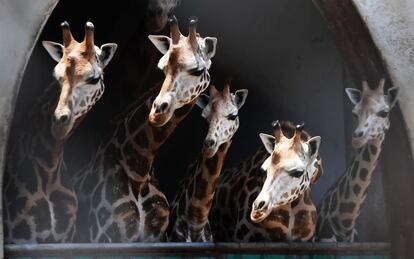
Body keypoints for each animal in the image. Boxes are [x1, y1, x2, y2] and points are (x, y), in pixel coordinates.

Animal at [2, 21, 117, 245]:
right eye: (56, 76)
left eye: (94, 79)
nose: (58, 122)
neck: (50, 166)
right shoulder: (20, 236)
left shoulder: (65, 237)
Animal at [74, 16, 218, 244]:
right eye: (162, 68)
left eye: (197, 71)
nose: (158, 111)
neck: (139, 168)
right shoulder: (104, 234)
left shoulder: (155, 236)